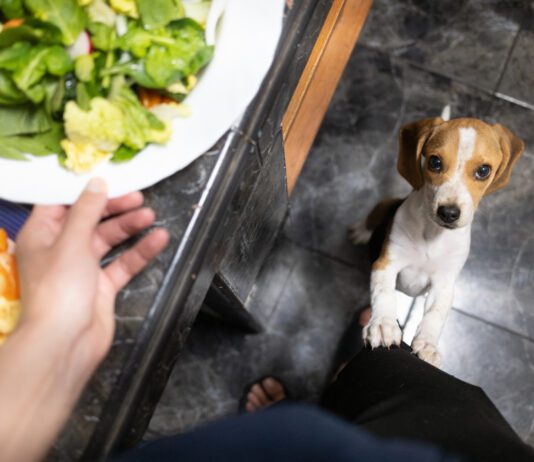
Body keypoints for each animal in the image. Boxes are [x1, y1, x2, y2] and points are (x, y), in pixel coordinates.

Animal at [352, 114, 528, 364]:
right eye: (435, 162)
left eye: (484, 170)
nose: (449, 213)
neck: (432, 234)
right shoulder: (386, 264)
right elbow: (384, 293)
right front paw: (383, 325)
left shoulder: (444, 283)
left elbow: (436, 314)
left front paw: (427, 344)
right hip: (386, 204)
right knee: (373, 216)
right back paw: (361, 231)